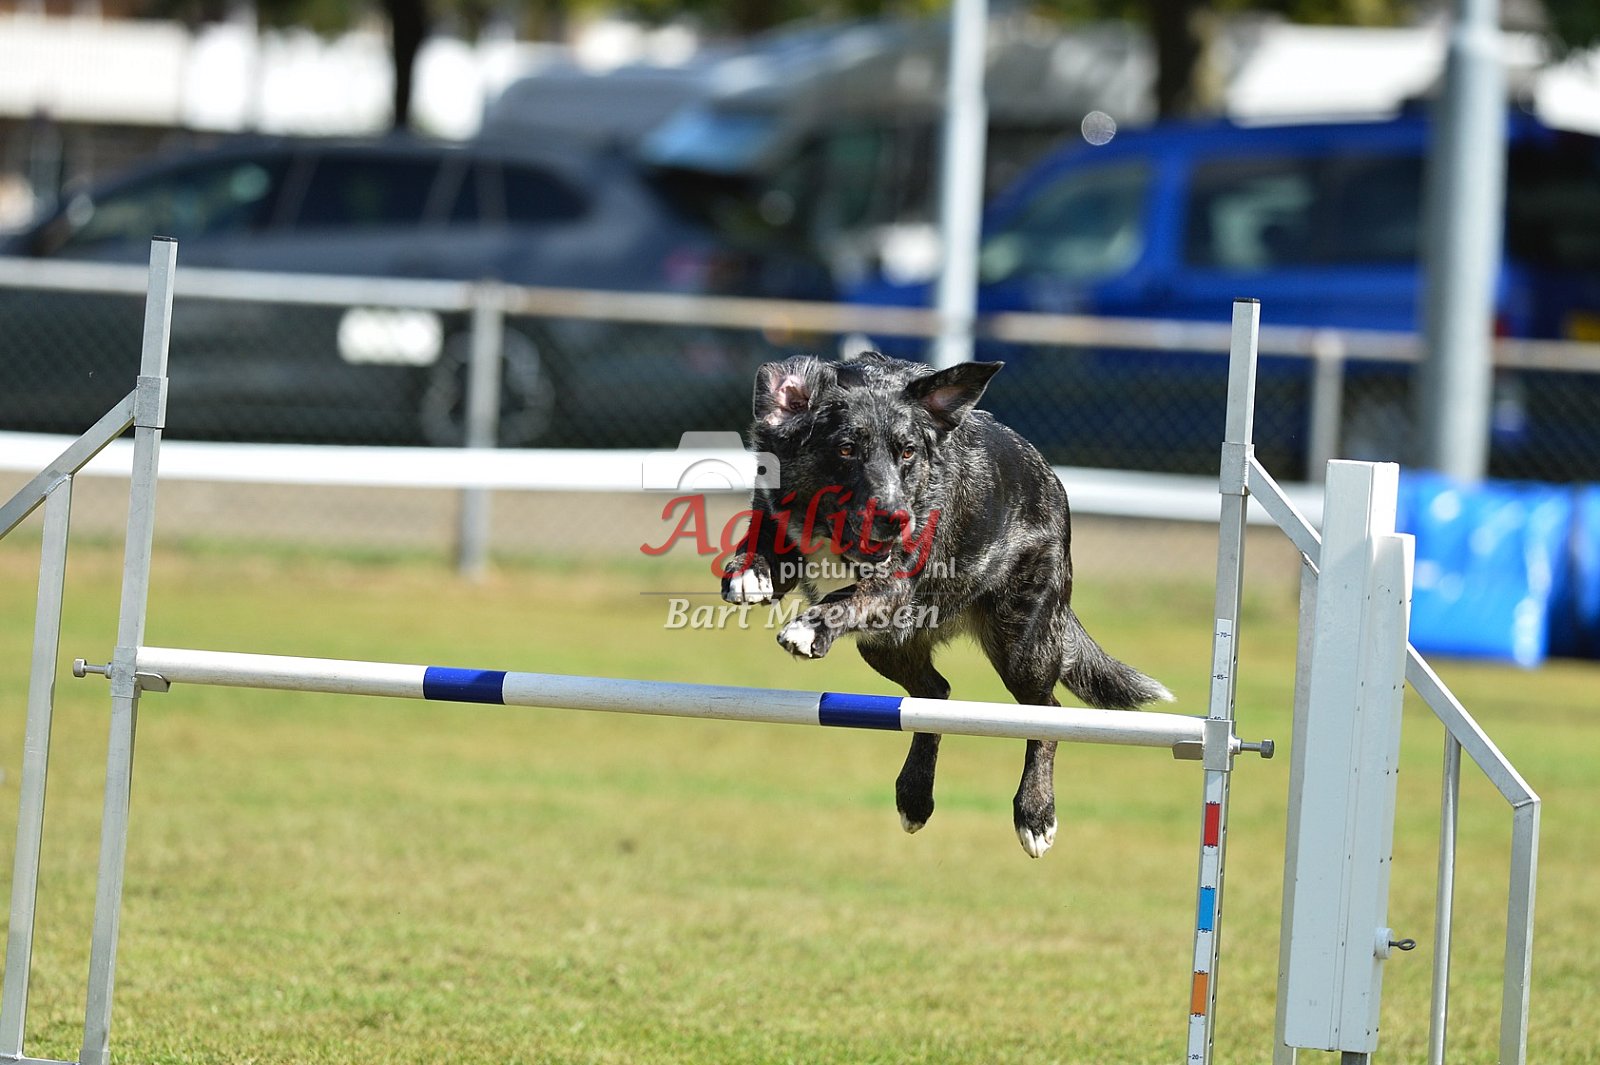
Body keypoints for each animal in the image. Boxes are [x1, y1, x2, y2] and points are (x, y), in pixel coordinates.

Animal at [720, 351, 1171, 858]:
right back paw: (915, 797)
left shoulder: (893, 585)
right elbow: (763, 545)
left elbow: (844, 598)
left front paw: (807, 629)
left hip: (1022, 647)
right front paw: (748, 572)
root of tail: (1053, 482)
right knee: (934, 694)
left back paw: (1035, 815)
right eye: (846, 449)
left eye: (908, 452)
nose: (896, 519)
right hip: (886, 646)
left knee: (1049, 712)